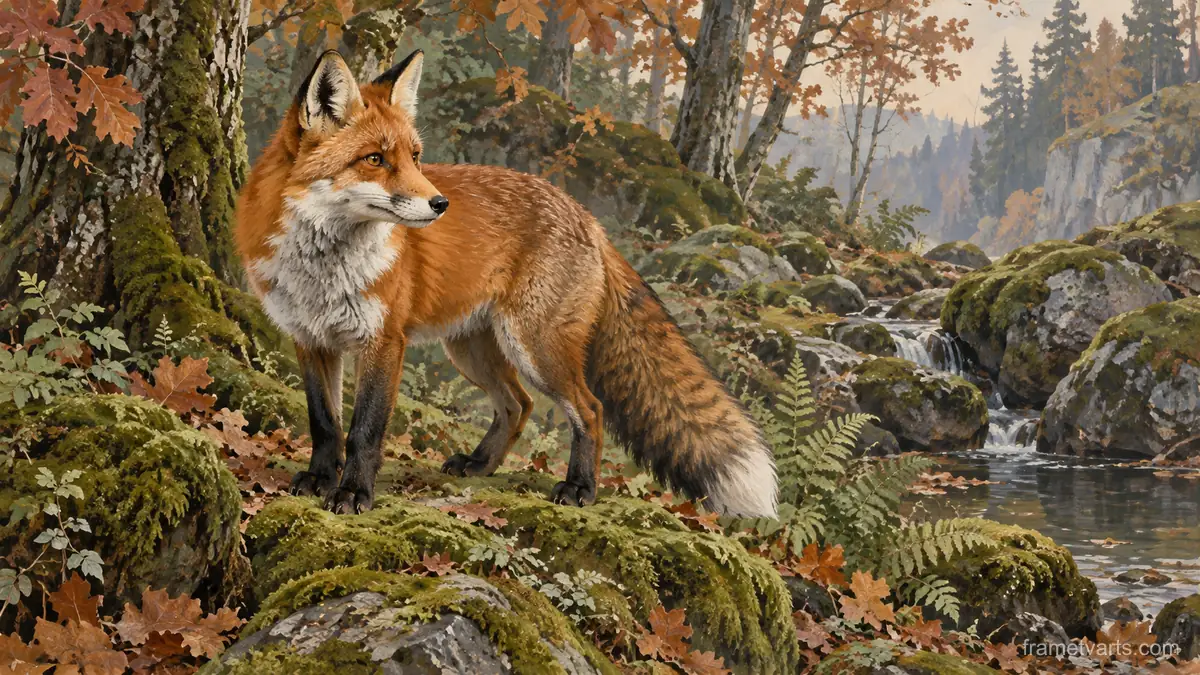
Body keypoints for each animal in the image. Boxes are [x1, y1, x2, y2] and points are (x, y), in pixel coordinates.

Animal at [234, 49, 778, 517]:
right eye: (374, 159)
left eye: (415, 156)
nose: (440, 204)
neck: (322, 268)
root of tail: (588, 217)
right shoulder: (311, 339)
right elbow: (325, 423)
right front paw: (318, 480)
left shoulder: (383, 341)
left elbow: (365, 430)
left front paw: (353, 494)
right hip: (473, 350)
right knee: (519, 405)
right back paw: (480, 464)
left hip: (536, 347)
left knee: (589, 410)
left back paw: (580, 487)